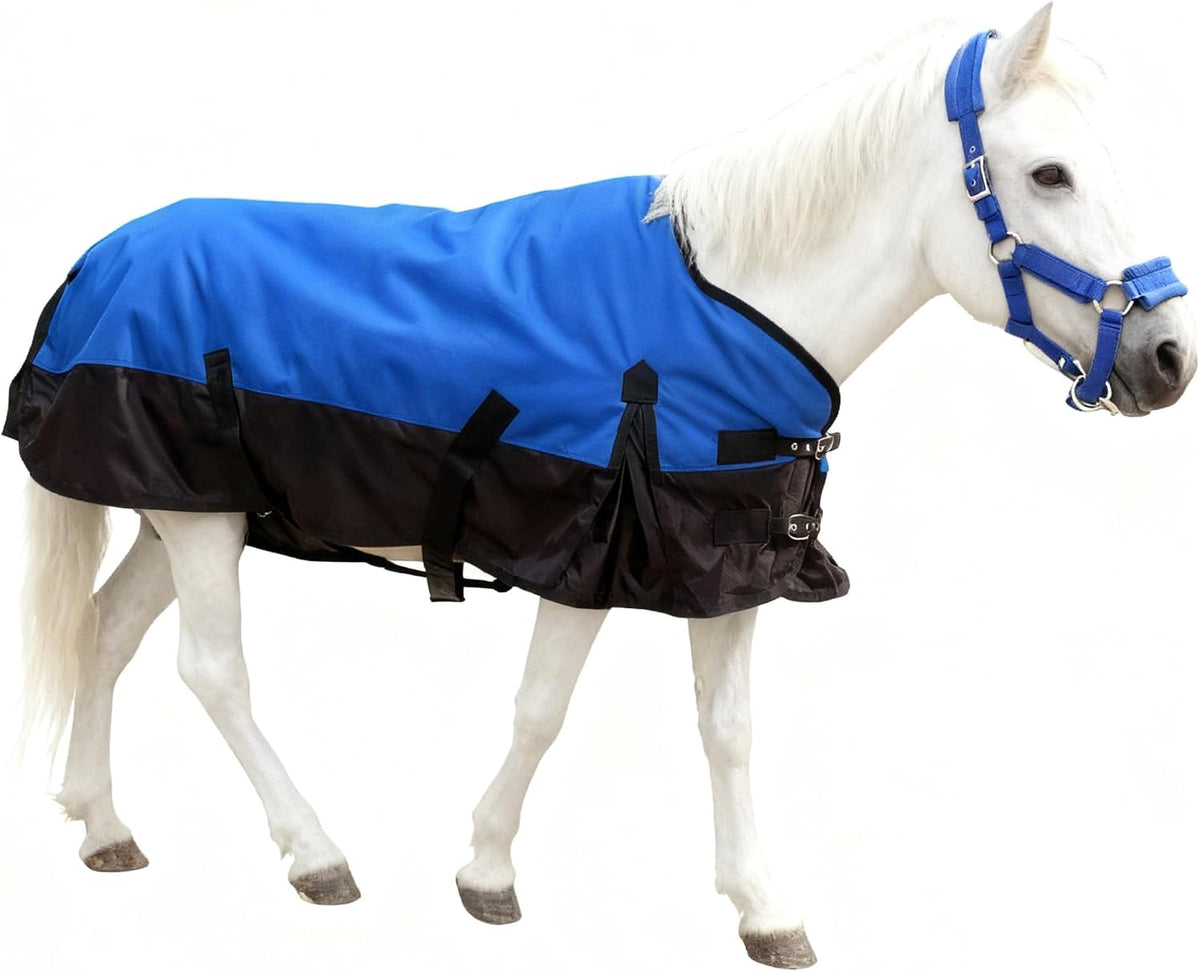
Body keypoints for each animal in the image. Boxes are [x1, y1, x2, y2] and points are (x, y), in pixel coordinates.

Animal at [6, 6, 1195, 969]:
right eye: (1049, 175)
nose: (1170, 359)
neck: (734, 300)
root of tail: (96, 259)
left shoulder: (730, 563)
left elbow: (729, 729)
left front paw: (763, 911)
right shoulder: (586, 550)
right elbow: (542, 711)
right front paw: (486, 874)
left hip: (178, 516)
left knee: (106, 635)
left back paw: (105, 828)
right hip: (203, 520)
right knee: (212, 672)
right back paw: (315, 855)